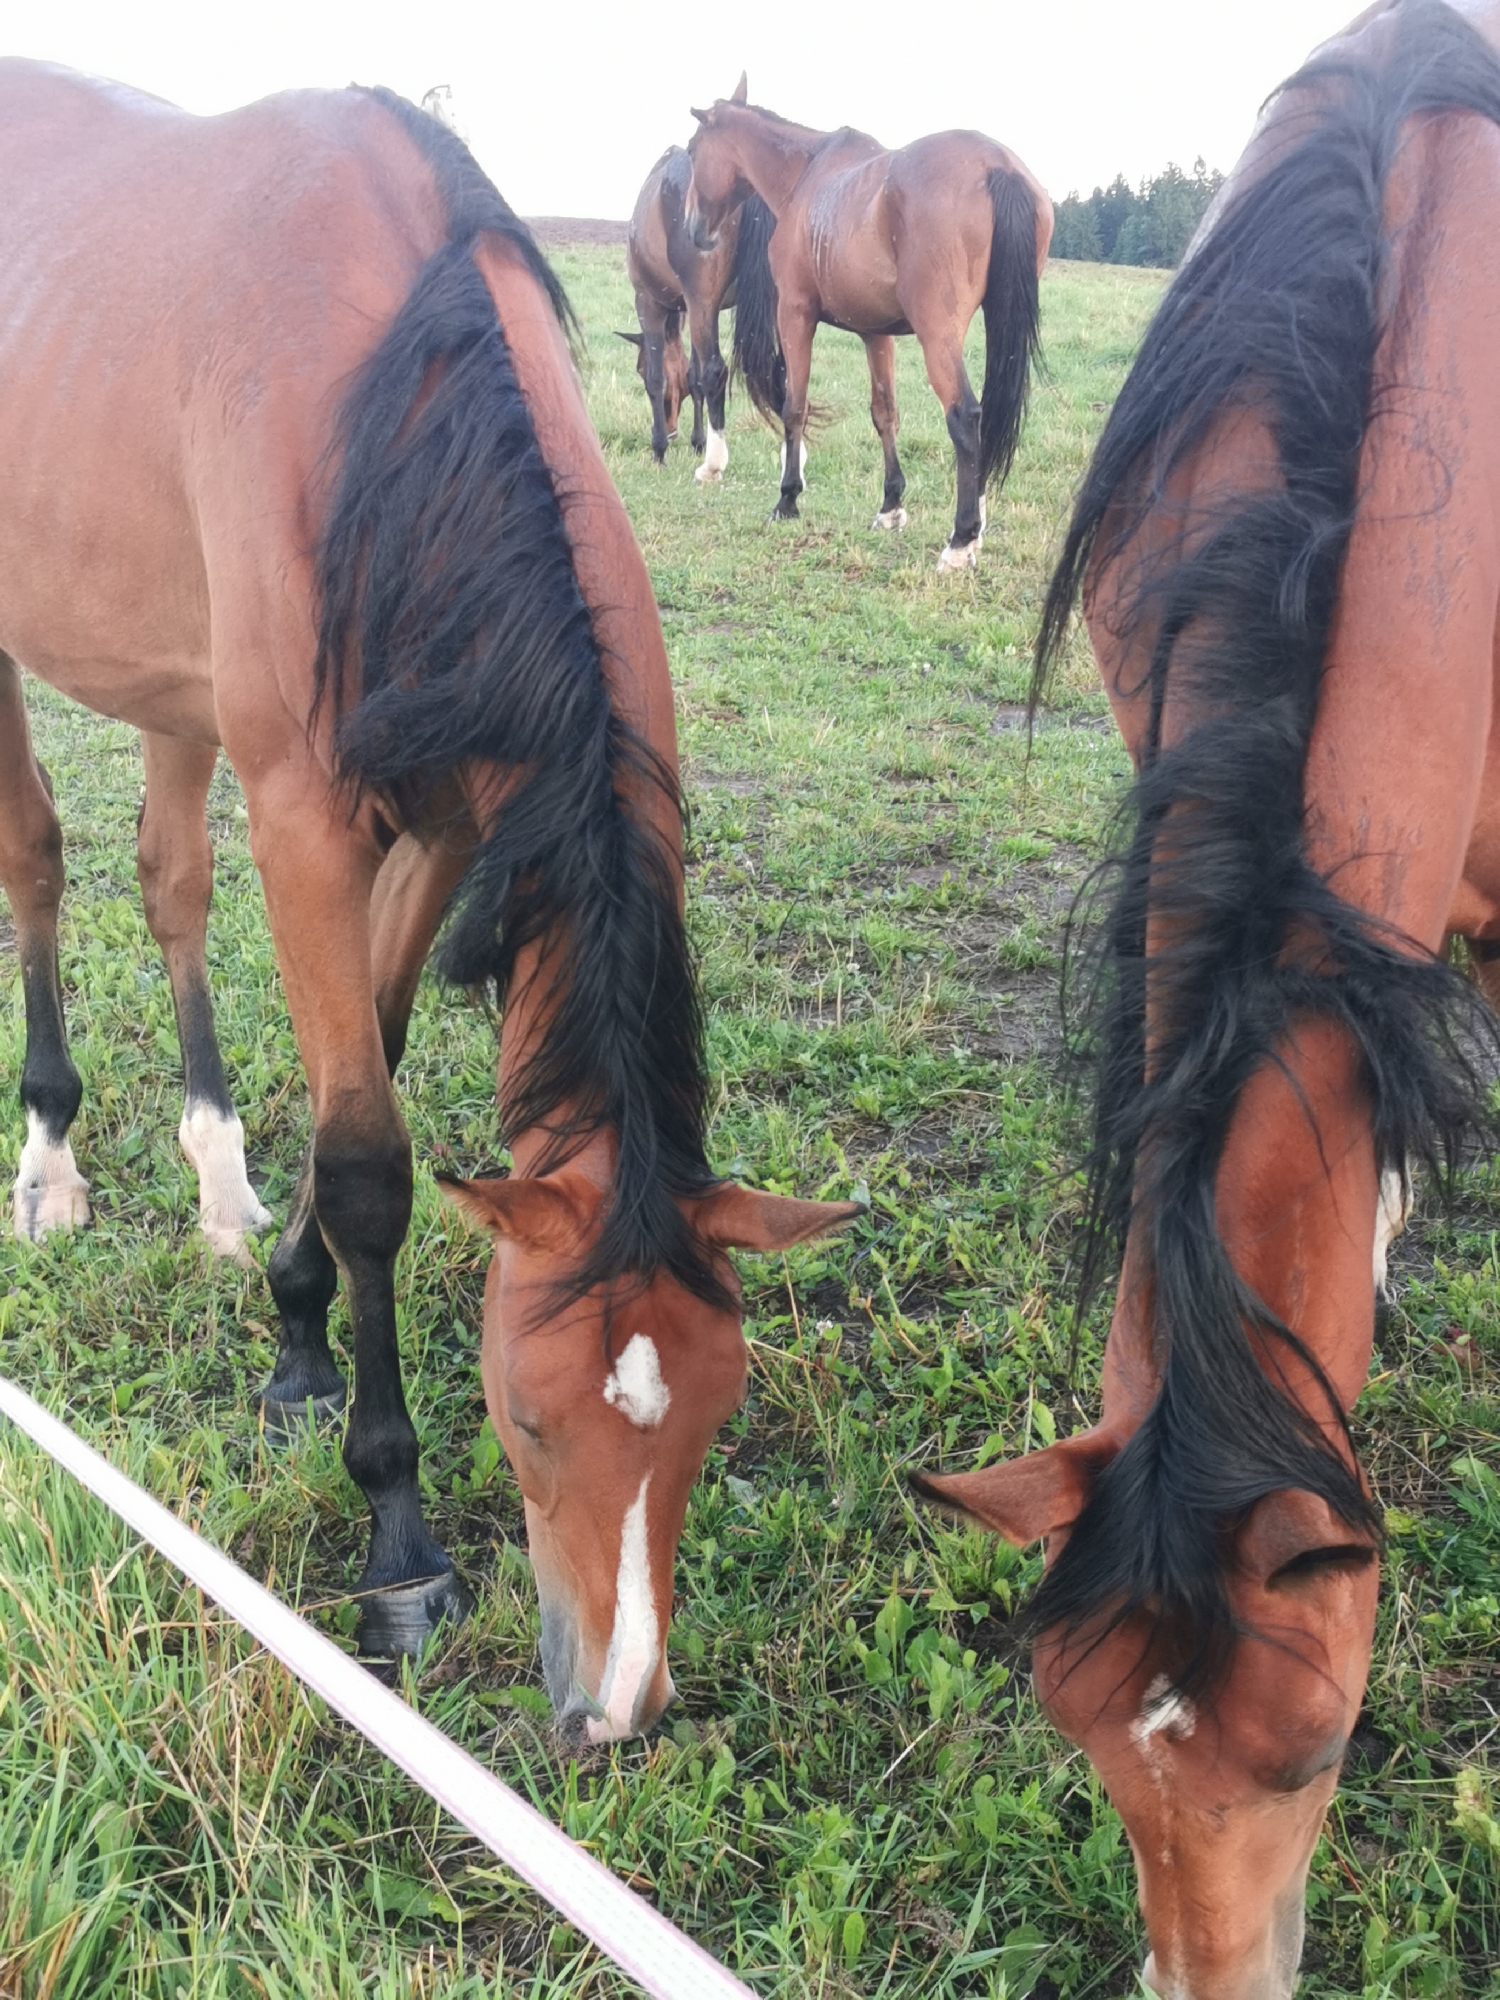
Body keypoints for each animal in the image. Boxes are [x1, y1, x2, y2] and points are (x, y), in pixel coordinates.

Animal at [0, 60, 858, 1733]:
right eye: (523, 1417)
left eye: (713, 1418)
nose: (618, 1706)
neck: (388, 404)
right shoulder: (306, 822)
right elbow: (370, 1169)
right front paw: (393, 1522)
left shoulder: (454, 824)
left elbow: (375, 1069)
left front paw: (291, 1321)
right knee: (40, 861)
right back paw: (52, 1156)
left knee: (167, 882)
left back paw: (215, 1178)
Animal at [683, 78, 1052, 569]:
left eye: (692, 150)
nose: (693, 229)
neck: (805, 176)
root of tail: (997, 164)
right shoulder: (876, 334)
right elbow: (885, 413)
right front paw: (891, 506)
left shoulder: (795, 313)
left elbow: (794, 406)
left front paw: (787, 498)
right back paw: (974, 531)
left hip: (937, 335)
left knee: (964, 416)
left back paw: (960, 540)